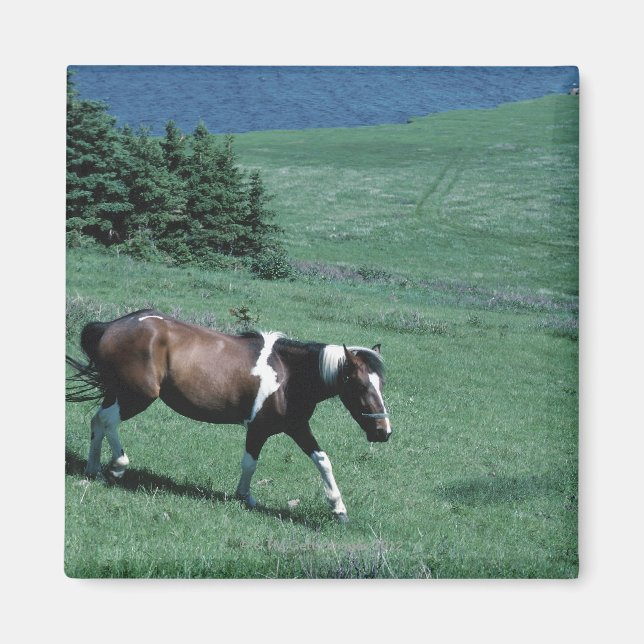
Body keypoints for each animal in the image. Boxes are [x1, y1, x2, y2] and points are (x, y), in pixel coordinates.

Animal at [66, 309, 392, 521]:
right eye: (360, 385)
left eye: (381, 384)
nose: (383, 431)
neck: (289, 375)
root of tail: (112, 326)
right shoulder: (258, 428)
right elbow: (250, 463)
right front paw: (244, 496)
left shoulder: (297, 426)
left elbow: (323, 460)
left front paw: (339, 509)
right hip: (137, 396)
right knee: (108, 421)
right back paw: (117, 467)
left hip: (119, 392)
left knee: (97, 421)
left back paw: (94, 469)